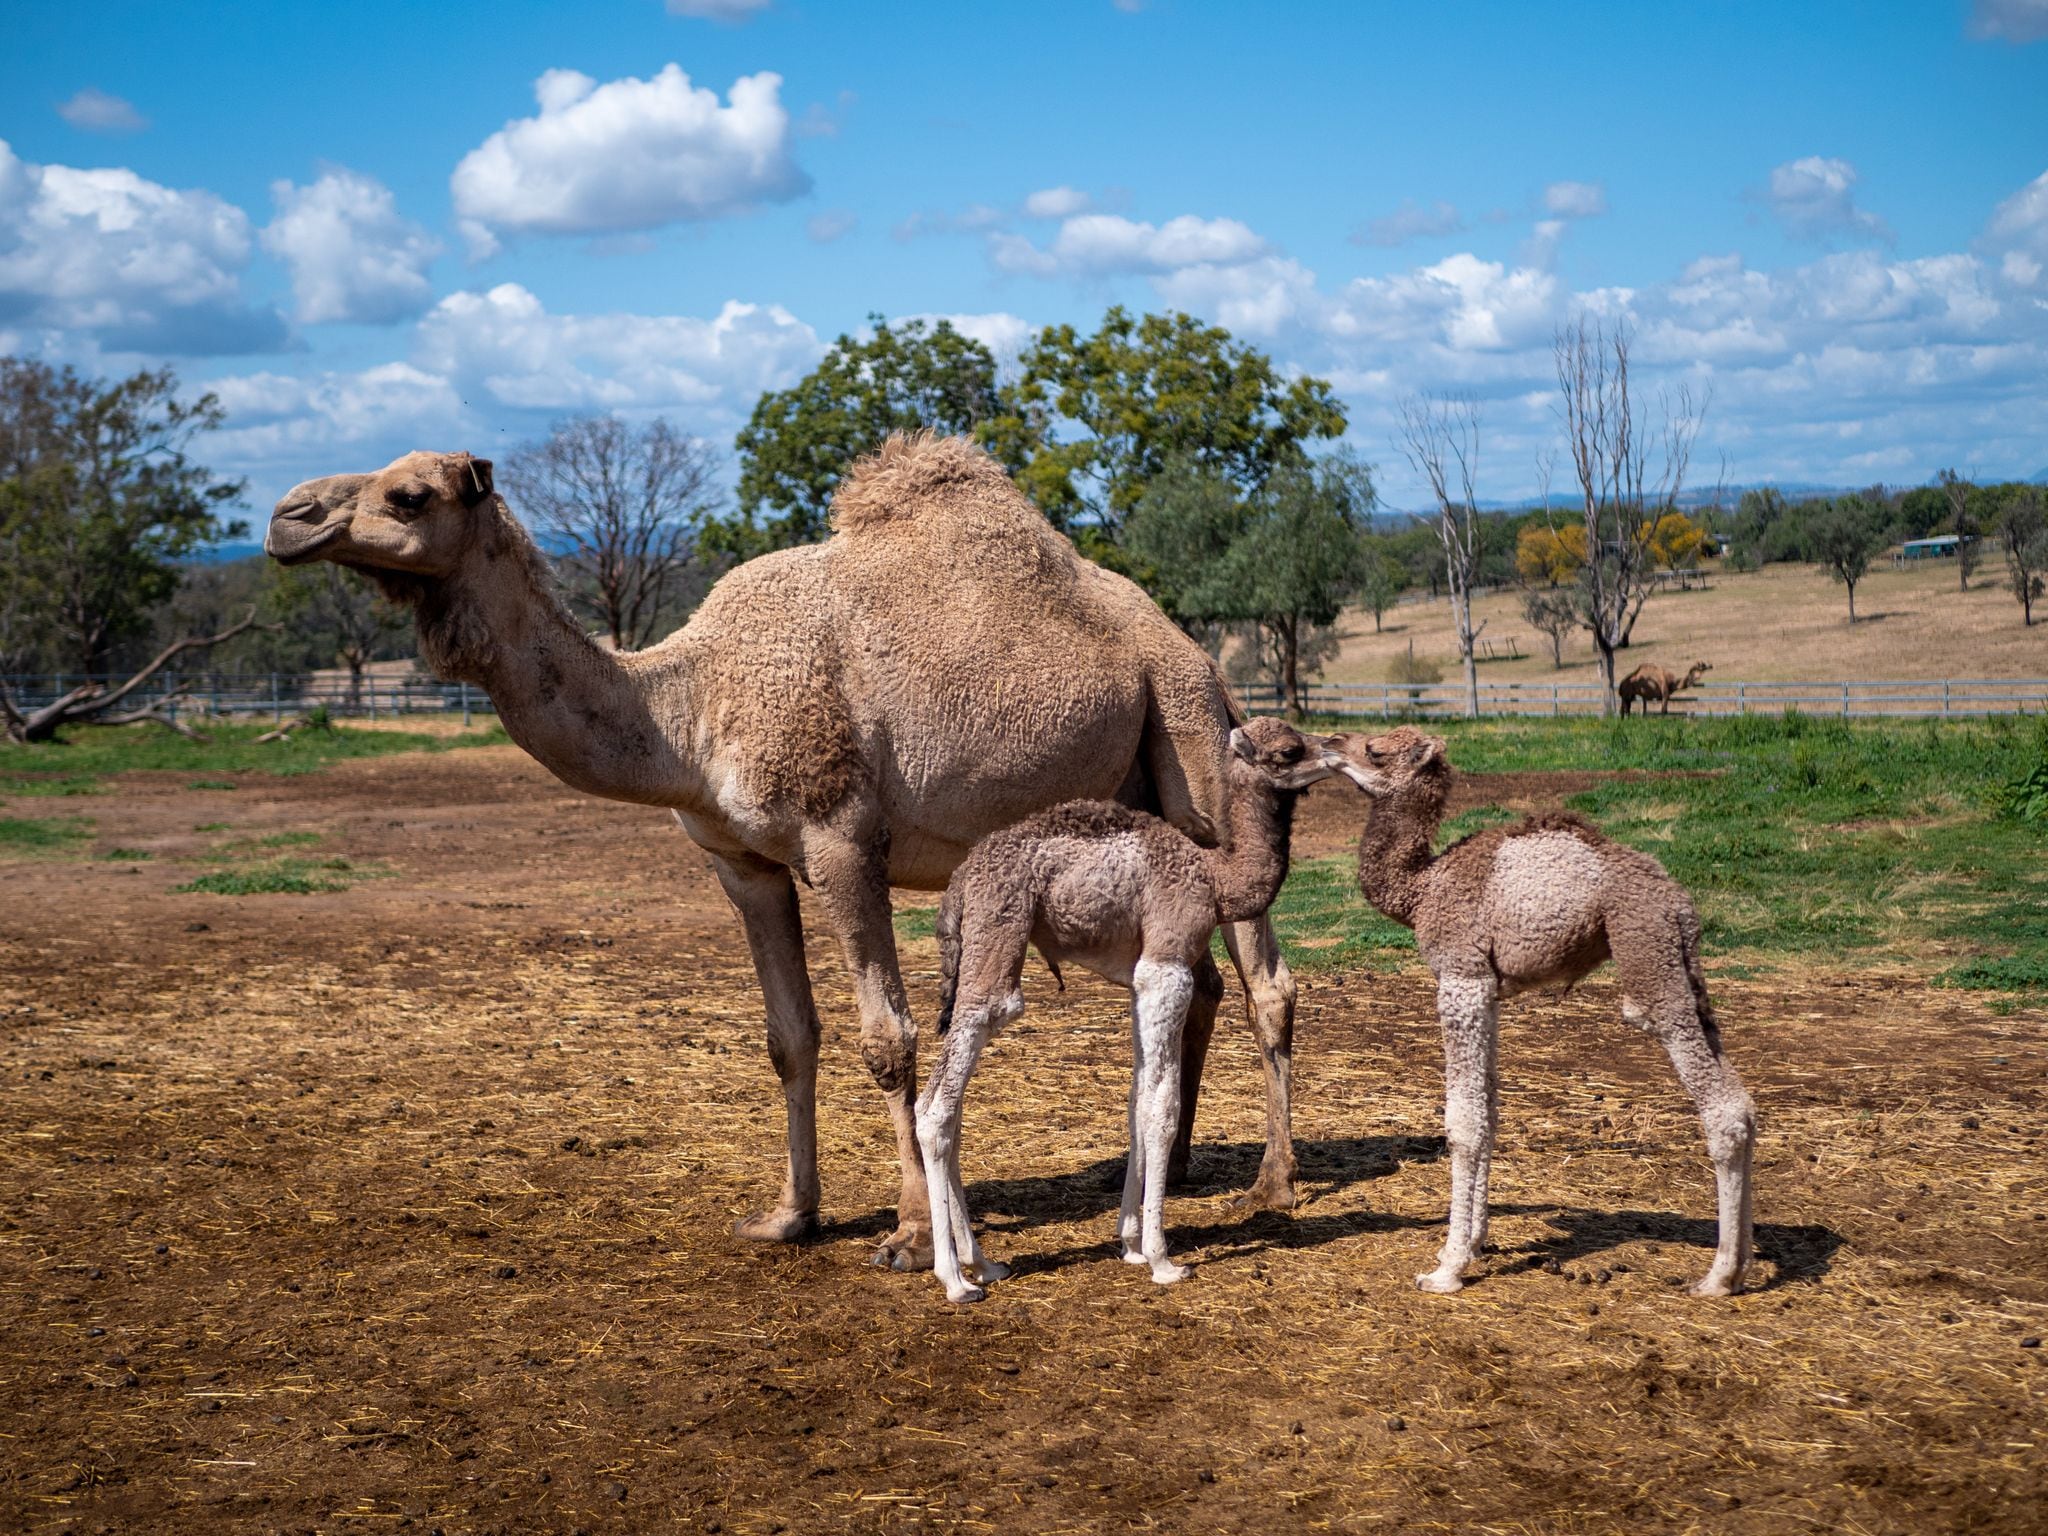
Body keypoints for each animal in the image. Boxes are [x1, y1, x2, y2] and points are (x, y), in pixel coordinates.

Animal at [264, 436, 1302, 1277]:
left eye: (409, 496)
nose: (287, 517)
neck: (690, 708)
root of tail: (1195, 653)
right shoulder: (742, 864)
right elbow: (787, 1036)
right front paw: (788, 1217)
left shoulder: (842, 841)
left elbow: (887, 1039)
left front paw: (906, 1236)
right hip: (1145, 791)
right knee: (1204, 978)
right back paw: (1177, 1164)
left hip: (1191, 740)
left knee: (1266, 979)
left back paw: (1272, 1188)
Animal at [917, 724, 1335, 1310]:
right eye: (1289, 752)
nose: (1336, 751)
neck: (1214, 879)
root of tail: (959, 884)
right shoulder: (1167, 964)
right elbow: (1162, 1107)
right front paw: (1162, 1259)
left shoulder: (1140, 978)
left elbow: (1138, 1100)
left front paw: (1131, 1243)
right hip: (997, 940)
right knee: (937, 1103)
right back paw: (954, 1279)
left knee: (950, 1108)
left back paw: (985, 1263)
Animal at [1327, 724, 1761, 1302]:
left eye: (1375, 751)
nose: (1329, 742)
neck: (1423, 888)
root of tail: (1678, 902)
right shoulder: (1488, 992)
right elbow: (1489, 1111)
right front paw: (1470, 1245)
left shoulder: (1461, 977)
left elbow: (1463, 1122)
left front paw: (1447, 1270)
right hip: (1684, 966)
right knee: (1739, 1097)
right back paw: (1739, 1265)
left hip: (1648, 955)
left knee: (1719, 1103)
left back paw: (1718, 1277)